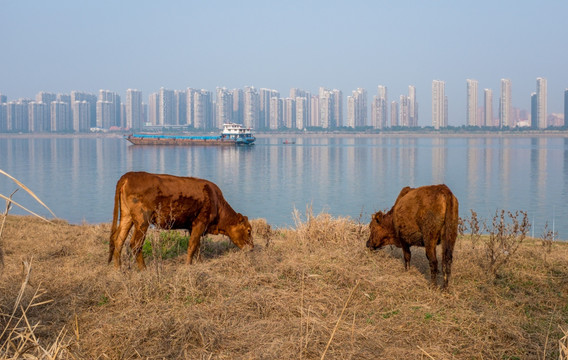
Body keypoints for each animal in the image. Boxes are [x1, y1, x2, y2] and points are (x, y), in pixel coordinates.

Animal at [108, 172, 253, 270]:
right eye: (249, 230)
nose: (252, 248)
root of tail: (129, 175)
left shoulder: (192, 226)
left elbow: (197, 245)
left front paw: (199, 263)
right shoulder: (200, 222)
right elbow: (192, 245)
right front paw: (188, 265)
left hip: (127, 216)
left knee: (118, 240)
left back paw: (118, 269)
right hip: (142, 220)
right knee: (135, 243)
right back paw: (144, 269)